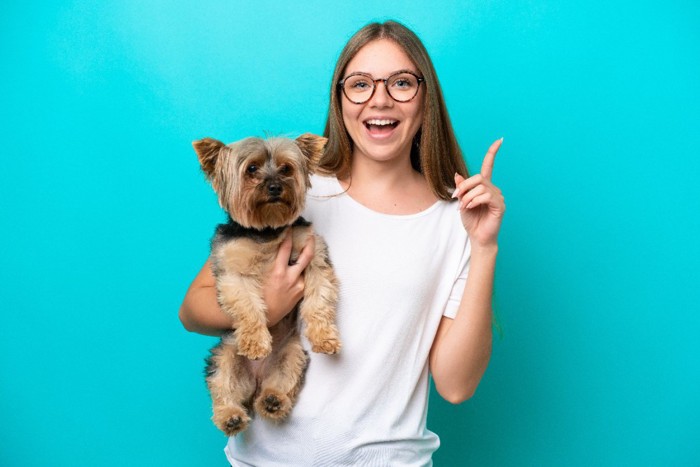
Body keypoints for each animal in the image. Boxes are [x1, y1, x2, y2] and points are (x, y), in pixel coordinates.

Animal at [193, 133, 340, 436]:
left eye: (286, 169)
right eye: (251, 169)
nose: (274, 187)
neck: (268, 230)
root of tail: (255, 383)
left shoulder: (313, 257)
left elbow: (319, 299)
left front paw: (324, 336)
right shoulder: (233, 271)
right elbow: (248, 305)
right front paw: (255, 343)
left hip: (292, 354)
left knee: (282, 382)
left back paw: (273, 401)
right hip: (224, 355)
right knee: (221, 386)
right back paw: (231, 416)